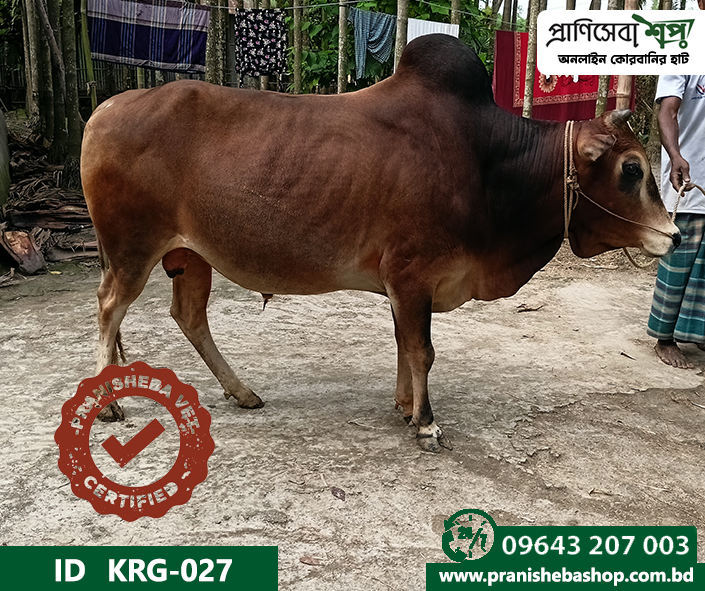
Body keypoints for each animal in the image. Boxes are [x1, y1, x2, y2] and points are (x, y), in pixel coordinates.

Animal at [81, 34, 680, 453]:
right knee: (109, 309)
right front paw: (427, 424)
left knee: (189, 315)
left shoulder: (402, 283)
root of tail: (104, 109)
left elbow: (402, 343)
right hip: (132, 250)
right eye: (631, 169)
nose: (672, 235)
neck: (489, 163)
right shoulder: (413, 273)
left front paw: (404, 406)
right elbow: (422, 349)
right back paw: (108, 405)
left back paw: (242, 391)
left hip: (190, 254)